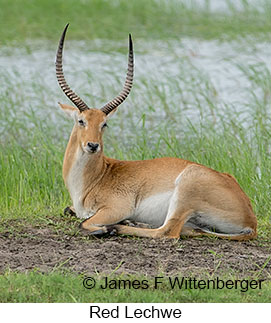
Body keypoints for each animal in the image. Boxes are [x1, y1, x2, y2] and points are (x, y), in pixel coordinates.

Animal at [55, 24, 258, 240]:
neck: (96, 177)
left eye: (104, 124)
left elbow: (83, 224)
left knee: (168, 232)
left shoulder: (115, 208)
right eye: (81, 121)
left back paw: (115, 227)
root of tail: (251, 219)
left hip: (185, 191)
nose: (93, 145)